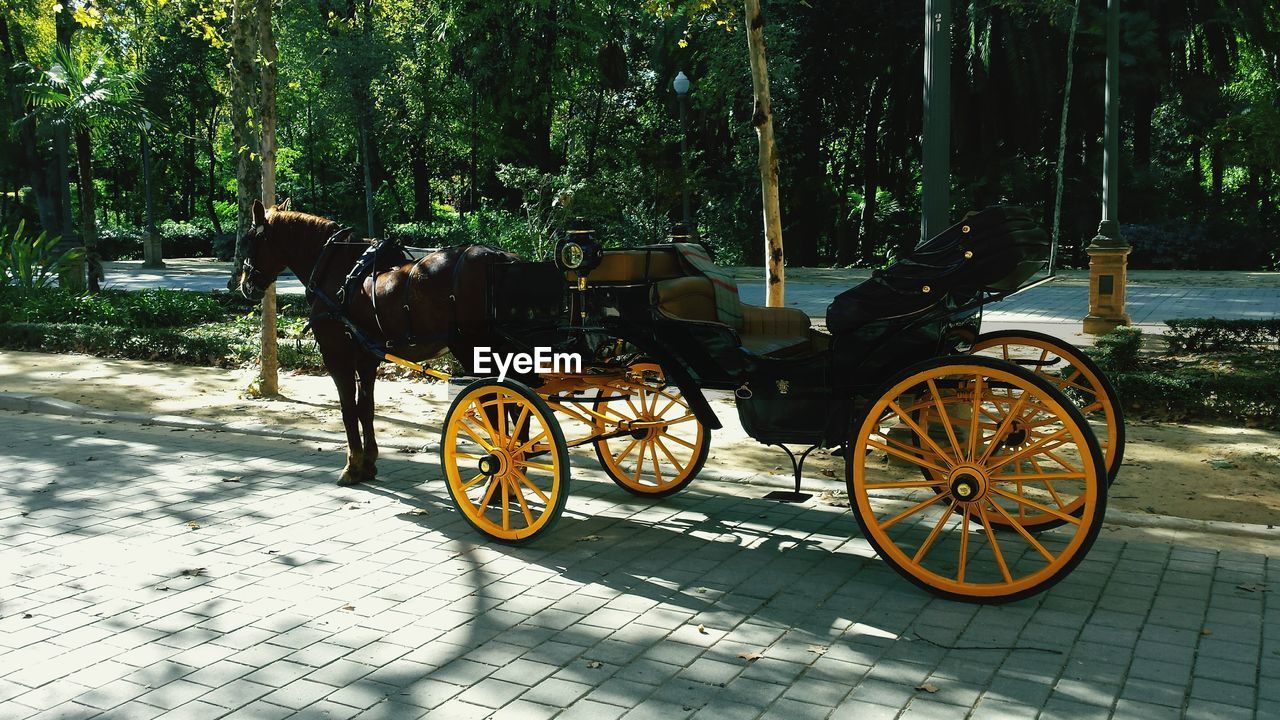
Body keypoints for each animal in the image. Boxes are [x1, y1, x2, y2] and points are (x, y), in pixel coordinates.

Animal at [238, 198, 517, 484]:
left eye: (249, 240)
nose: (244, 284)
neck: (337, 270)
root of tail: (500, 258)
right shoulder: (366, 358)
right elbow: (366, 407)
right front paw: (368, 462)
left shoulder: (337, 355)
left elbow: (348, 409)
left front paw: (352, 465)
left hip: (473, 350)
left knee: (496, 407)